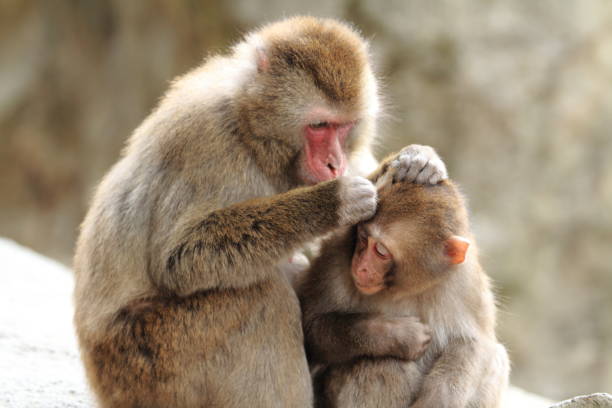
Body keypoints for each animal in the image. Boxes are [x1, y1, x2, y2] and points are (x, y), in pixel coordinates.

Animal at [74, 16, 448, 408]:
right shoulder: (204, 139)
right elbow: (179, 258)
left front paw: (417, 160)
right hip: (148, 367)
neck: (249, 133)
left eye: (343, 127)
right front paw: (332, 201)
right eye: (319, 126)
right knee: (262, 298)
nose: (334, 163)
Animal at [298, 169, 510, 408]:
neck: (409, 287)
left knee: (496, 358)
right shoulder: (337, 253)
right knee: (381, 365)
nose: (361, 267)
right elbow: (313, 327)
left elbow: (474, 343)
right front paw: (399, 334)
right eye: (362, 237)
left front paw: (438, 400)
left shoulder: (467, 280)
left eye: (381, 251)